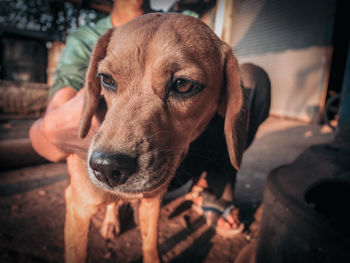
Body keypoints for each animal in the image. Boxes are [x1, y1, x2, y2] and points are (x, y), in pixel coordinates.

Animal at [65, 13, 246, 263]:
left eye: (183, 85)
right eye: (106, 79)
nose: (107, 167)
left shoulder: (151, 202)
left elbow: (151, 244)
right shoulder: (78, 208)